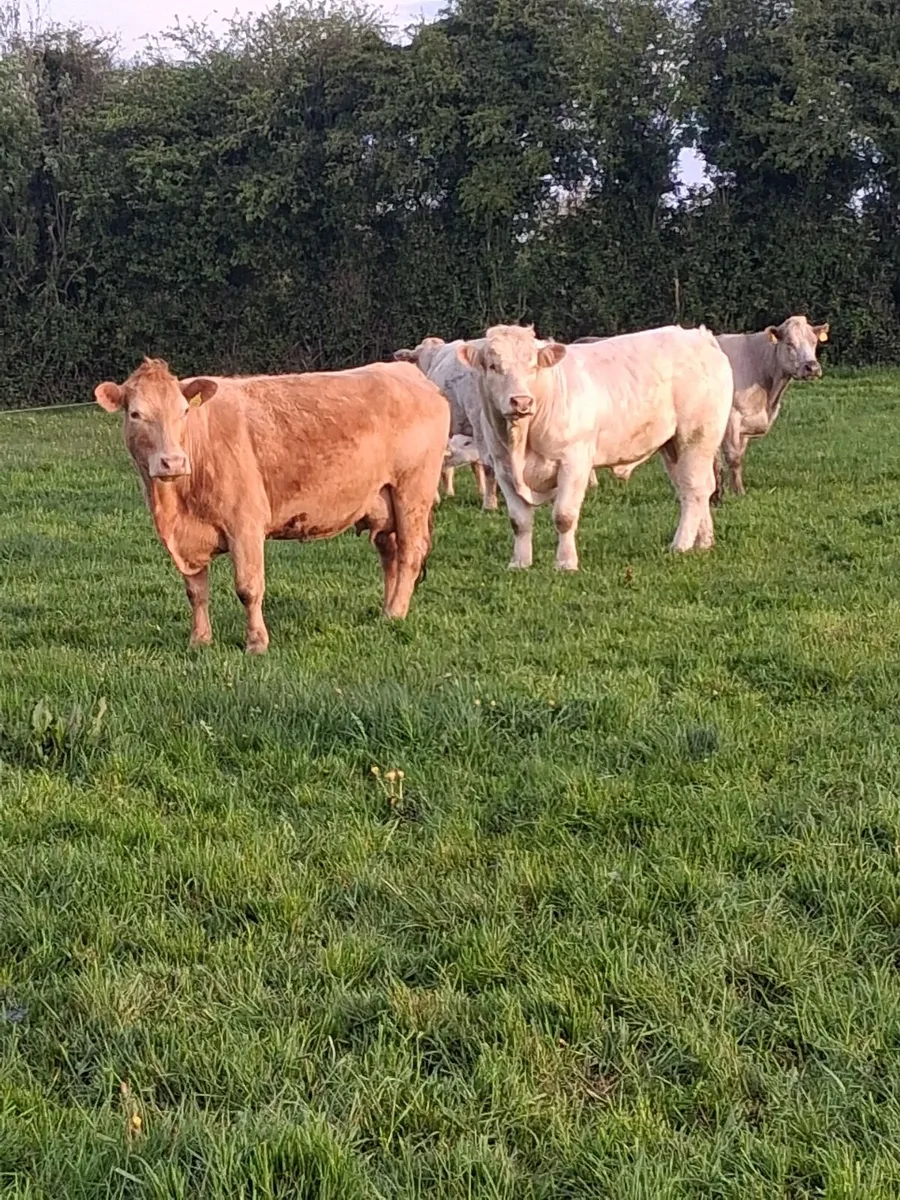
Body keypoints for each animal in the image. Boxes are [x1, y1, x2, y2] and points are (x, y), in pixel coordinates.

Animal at [93, 358, 448, 653]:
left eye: (183, 411)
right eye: (136, 414)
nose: (172, 461)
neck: (176, 504)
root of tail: (407, 371)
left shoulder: (245, 524)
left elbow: (248, 588)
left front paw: (256, 643)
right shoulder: (187, 541)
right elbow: (196, 591)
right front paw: (199, 640)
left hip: (413, 492)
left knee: (410, 553)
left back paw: (396, 613)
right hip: (383, 500)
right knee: (390, 553)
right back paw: (385, 610)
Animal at [456, 324, 733, 571]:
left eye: (533, 366)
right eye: (493, 366)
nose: (521, 401)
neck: (521, 442)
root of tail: (699, 335)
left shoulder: (574, 462)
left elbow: (564, 516)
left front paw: (566, 563)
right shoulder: (503, 467)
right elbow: (519, 521)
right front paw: (519, 563)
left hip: (696, 437)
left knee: (694, 489)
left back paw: (681, 544)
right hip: (673, 446)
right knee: (695, 489)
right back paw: (703, 541)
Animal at [714, 315, 829, 500]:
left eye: (814, 341)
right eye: (789, 343)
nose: (812, 367)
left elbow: (736, 457)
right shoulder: (733, 417)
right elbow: (733, 457)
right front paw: (738, 492)